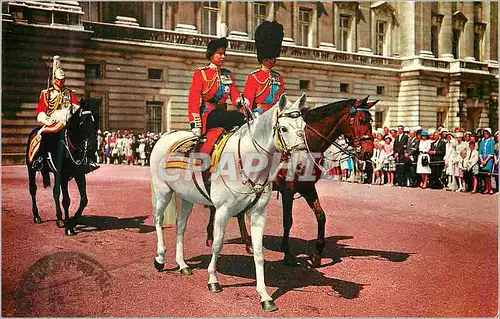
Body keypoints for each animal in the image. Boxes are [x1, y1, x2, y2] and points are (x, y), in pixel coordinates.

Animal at [26, 99, 99, 236]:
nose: (93, 146)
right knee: (34, 190)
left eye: (95, 122)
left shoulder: (78, 174)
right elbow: (60, 195)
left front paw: (71, 223)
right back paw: (38, 216)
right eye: (82, 122)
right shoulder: (59, 173)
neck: (70, 146)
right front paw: (68, 224)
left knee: (60, 196)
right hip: (31, 170)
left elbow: (82, 200)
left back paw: (62, 219)